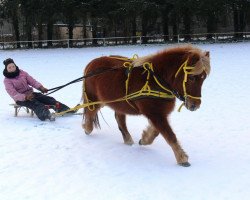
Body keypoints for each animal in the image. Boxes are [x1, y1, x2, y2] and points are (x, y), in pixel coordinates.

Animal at [82, 45, 211, 167]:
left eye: (204, 78)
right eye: (192, 77)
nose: (195, 105)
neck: (155, 80)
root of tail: (91, 63)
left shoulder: (159, 114)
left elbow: (157, 131)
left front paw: (144, 139)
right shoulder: (155, 114)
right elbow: (169, 135)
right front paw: (182, 158)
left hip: (118, 103)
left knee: (119, 118)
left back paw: (127, 139)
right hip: (95, 100)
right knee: (90, 112)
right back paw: (87, 128)